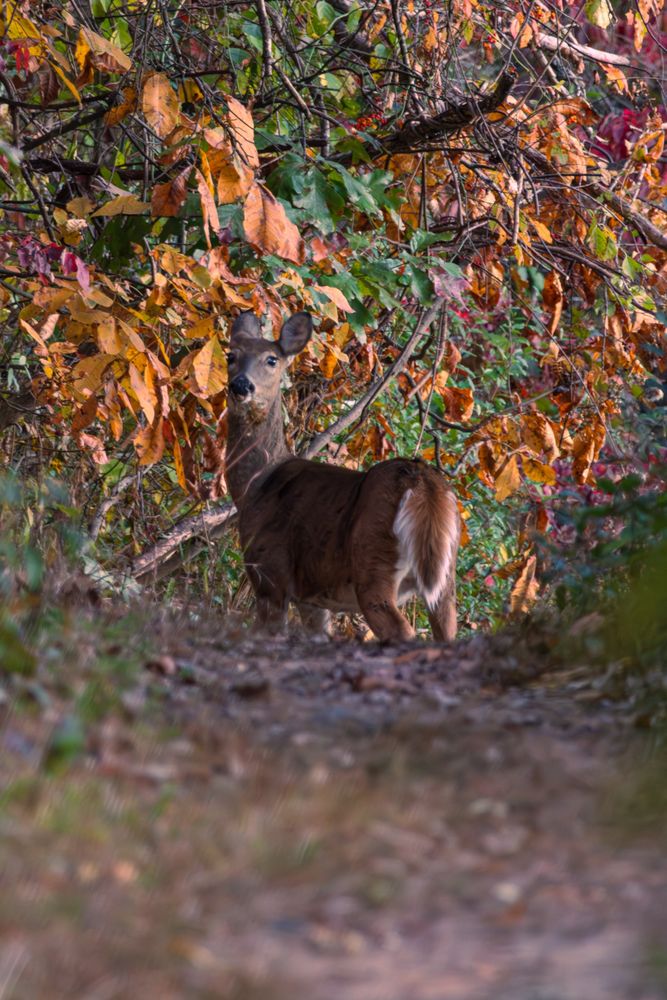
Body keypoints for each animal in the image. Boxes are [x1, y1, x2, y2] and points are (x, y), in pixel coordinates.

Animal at [224, 309, 460, 643]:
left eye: (272, 359)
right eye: (231, 355)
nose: (241, 385)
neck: (256, 486)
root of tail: (423, 482)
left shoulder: (269, 573)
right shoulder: (312, 598)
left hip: (372, 561)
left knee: (401, 630)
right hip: (445, 577)